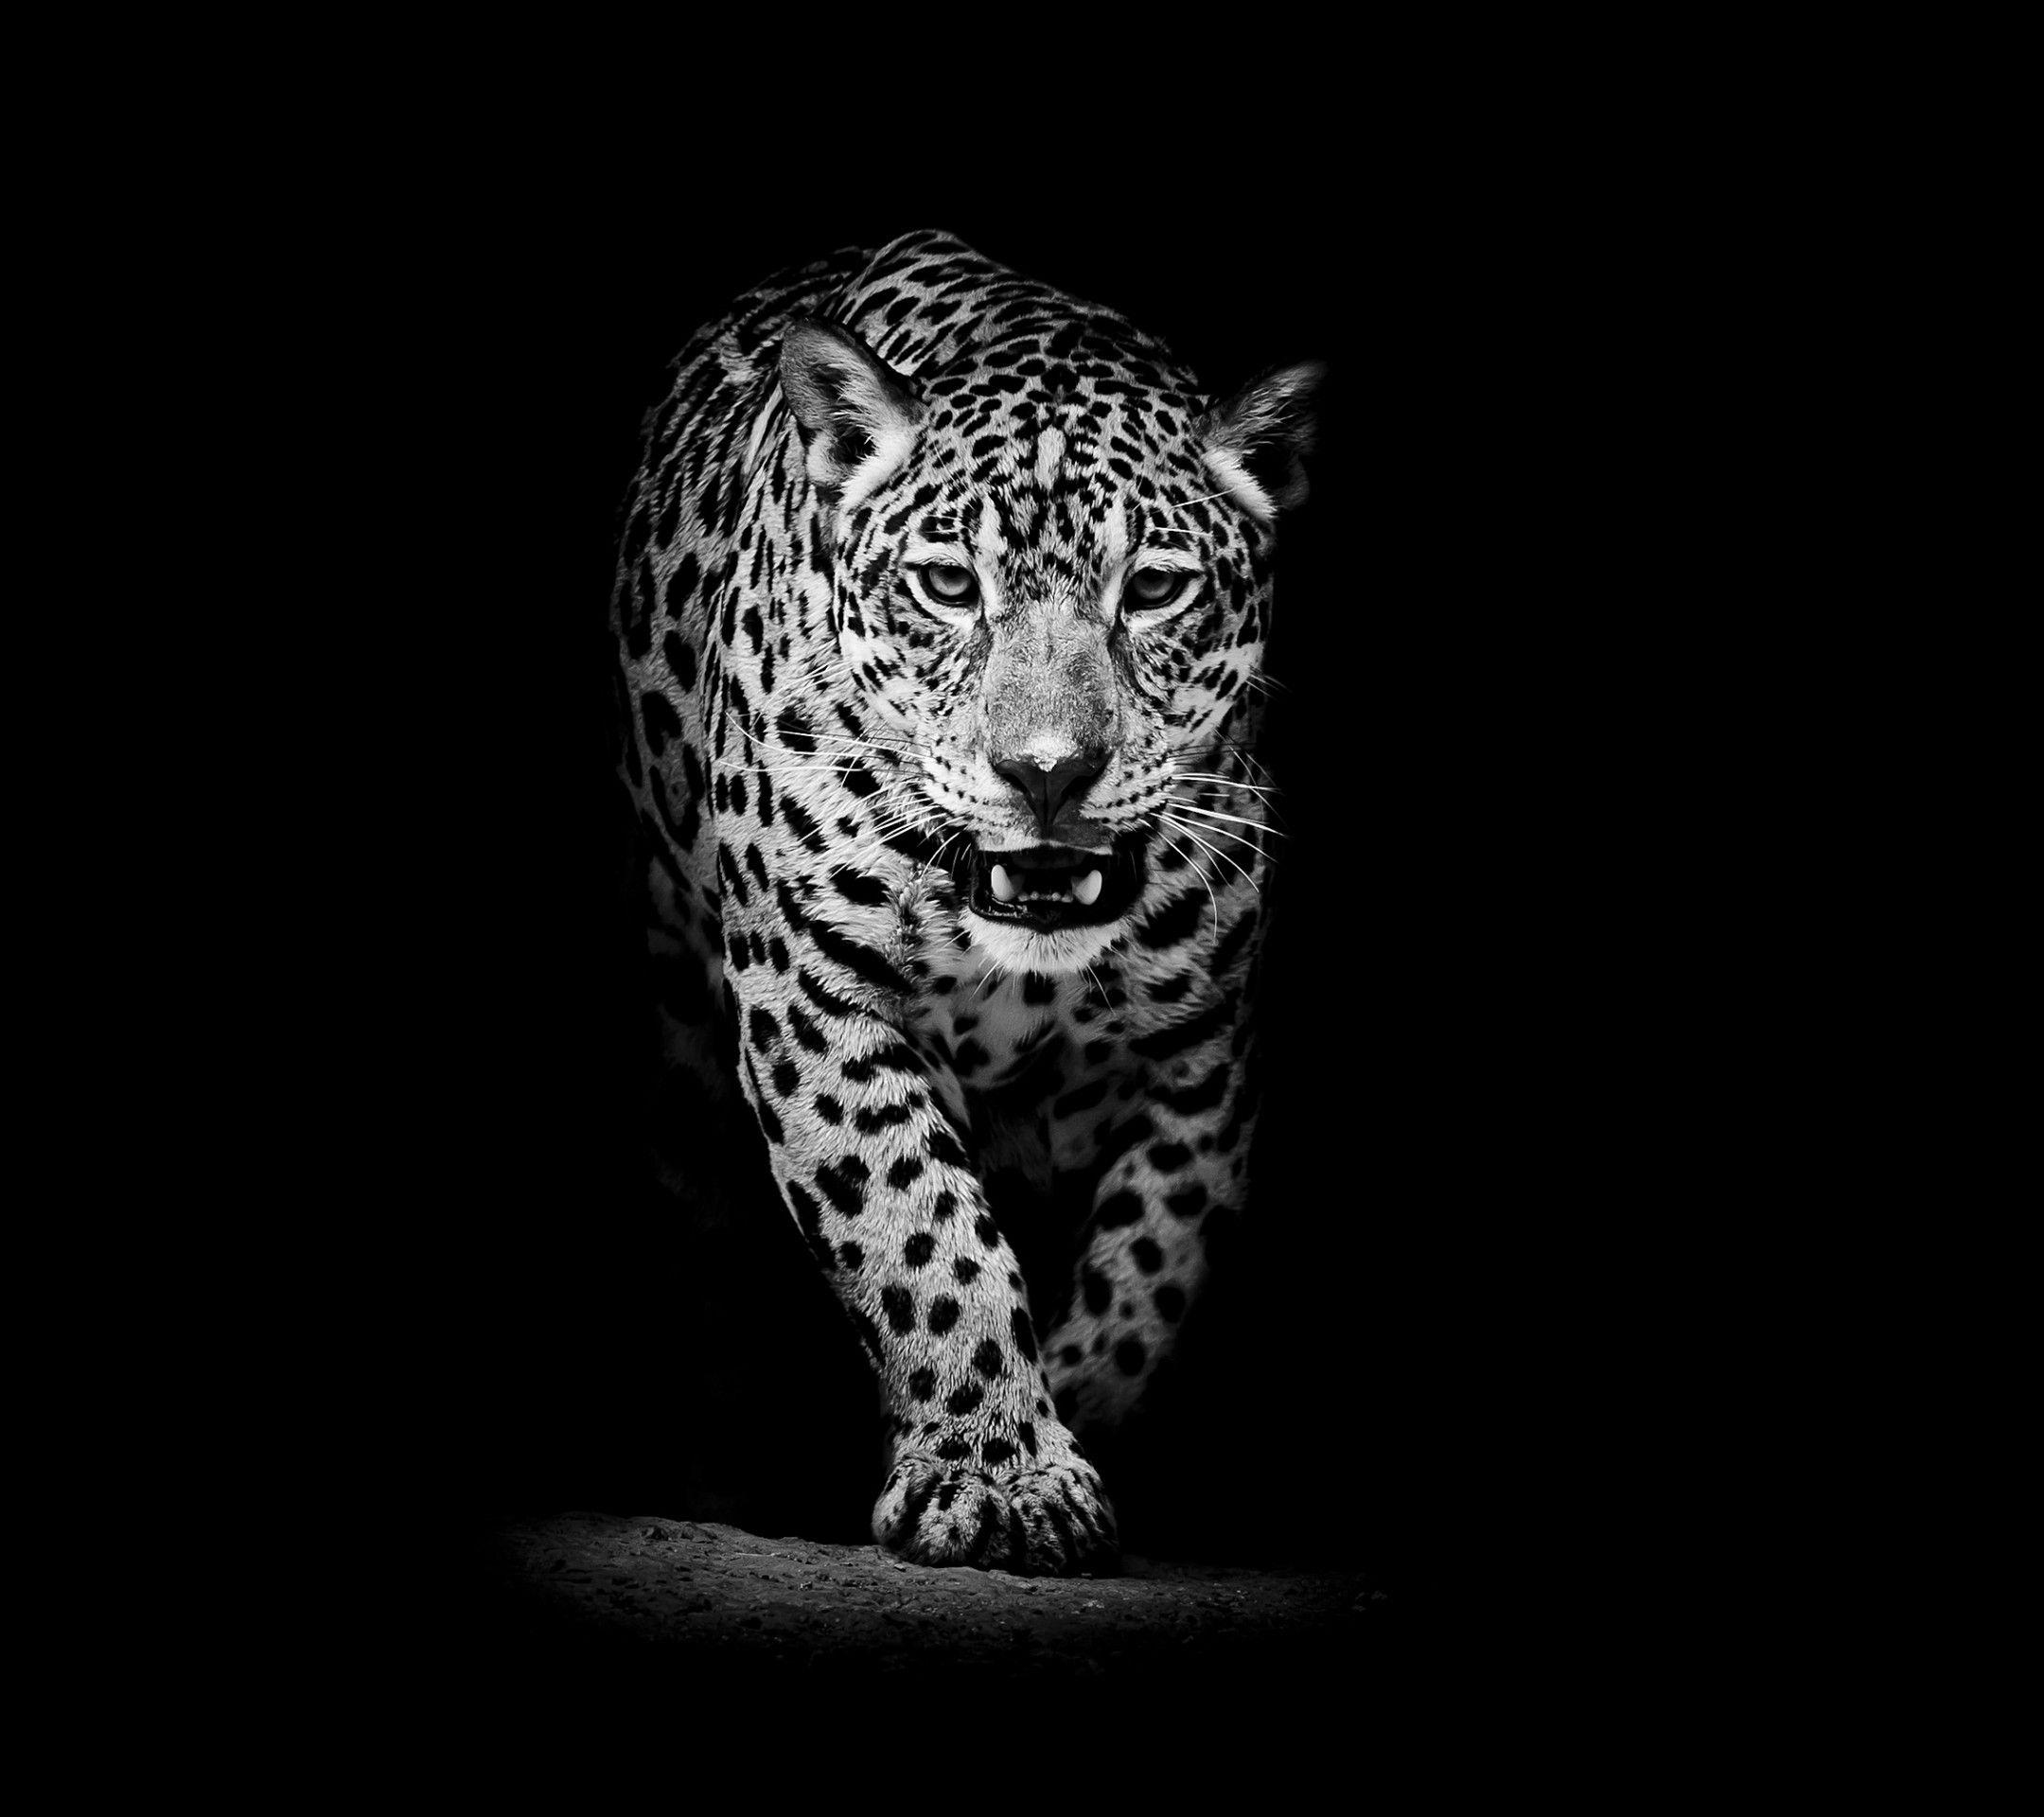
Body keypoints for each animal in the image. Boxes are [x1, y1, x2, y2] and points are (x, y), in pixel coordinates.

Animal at [608, 228, 1320, 1576]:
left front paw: (1067, 1426)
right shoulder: (817, 999)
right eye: (945, 584)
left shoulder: (1203, 1058)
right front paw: (996, 1474)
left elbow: (1151, 1272)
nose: (1046, 771)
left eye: (1154, 589)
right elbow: (920, 1233)